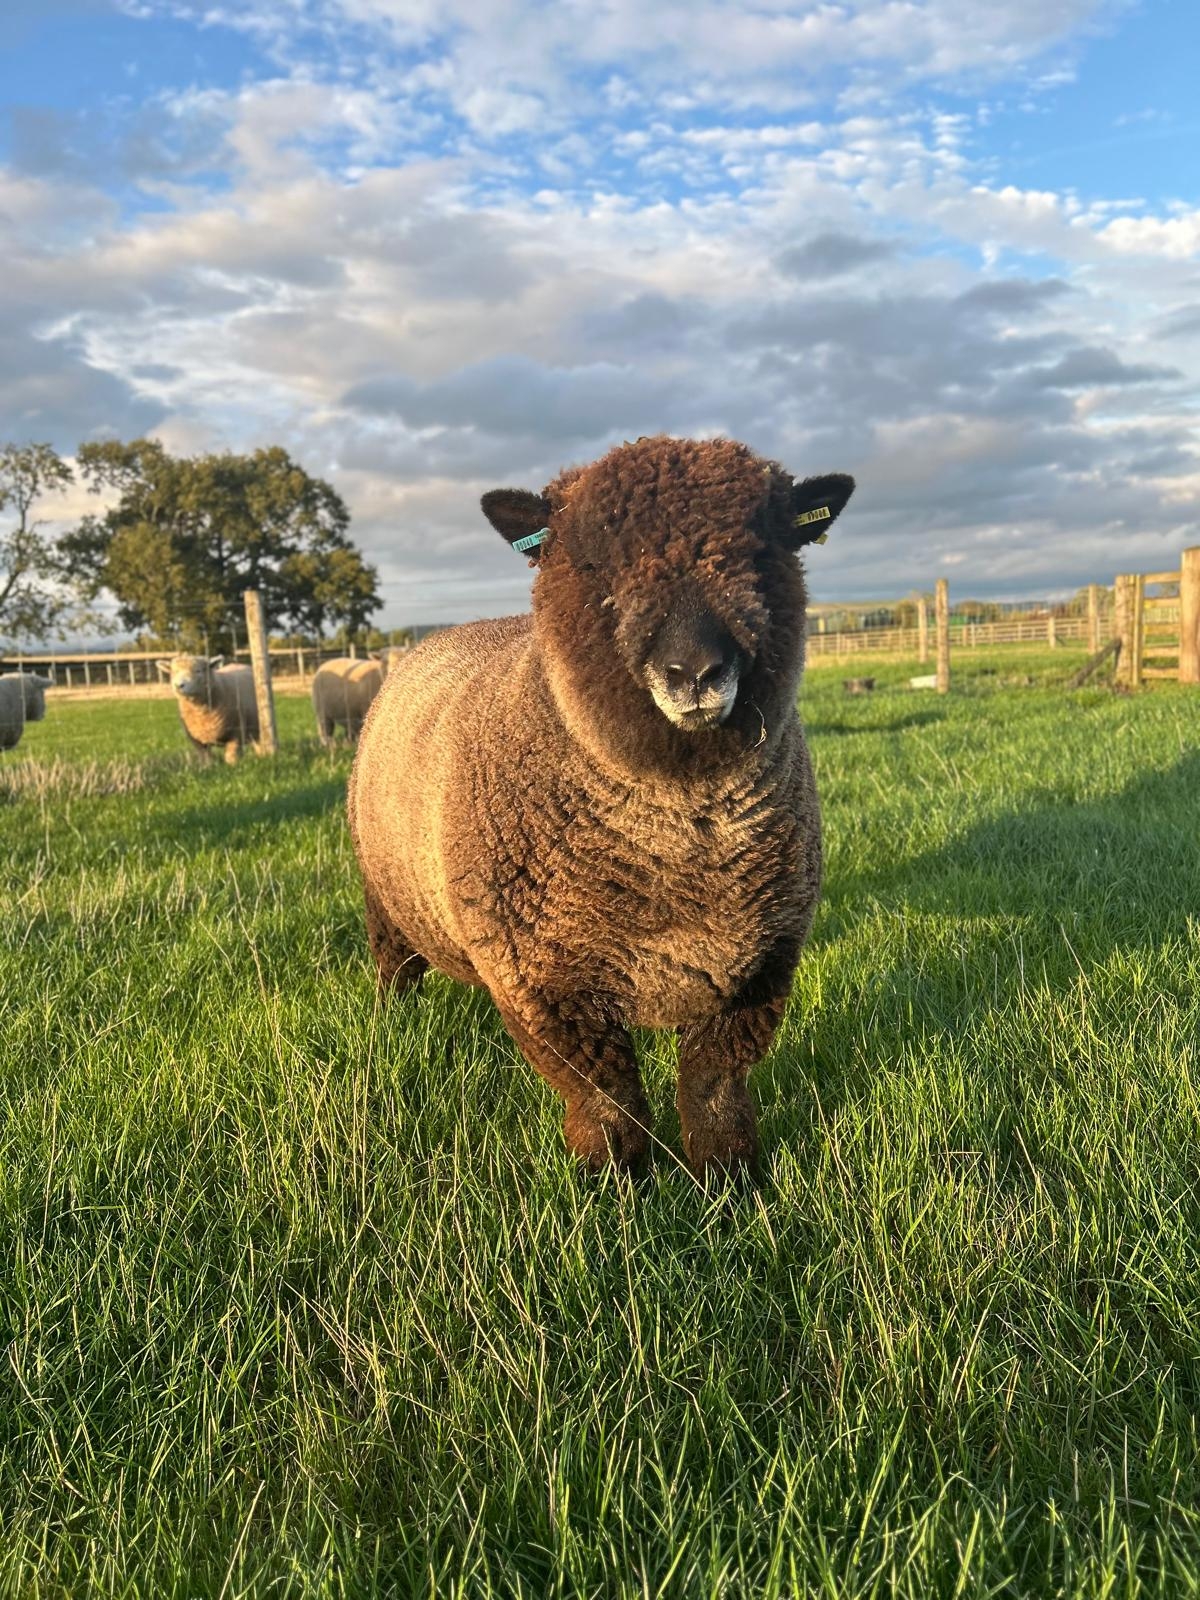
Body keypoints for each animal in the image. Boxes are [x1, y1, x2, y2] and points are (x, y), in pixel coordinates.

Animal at [348, 436, 855, 1177]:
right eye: (590, 563)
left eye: (764, 551)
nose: (695, 672)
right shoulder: (547, 983)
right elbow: (608, 1103)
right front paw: (613, 1191)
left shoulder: (760, 964)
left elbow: (713, 1090)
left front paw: (730, 1184)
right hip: (385, 900)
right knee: (396, 973)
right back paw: (396, 1031)